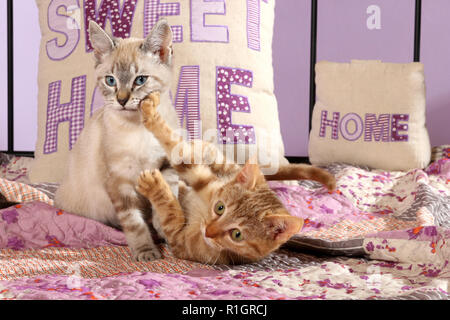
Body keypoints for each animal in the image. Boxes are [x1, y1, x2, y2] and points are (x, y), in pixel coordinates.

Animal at [56, 18, 181, 262]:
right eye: (110, 81)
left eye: (140, 80)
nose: (122, 100)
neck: (139, 127)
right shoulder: (119, 181)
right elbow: (134, 223)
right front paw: (146, 252)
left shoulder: (170, 162)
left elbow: (166, 189)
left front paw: (161, 221)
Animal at [135, 92, 336, 264]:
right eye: (220, 208)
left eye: (237, 235)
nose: (208, 231)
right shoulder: (205, 180)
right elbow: (180, 153)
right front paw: (151, 111)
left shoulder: (179, 240)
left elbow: (170, 210)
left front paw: (153, 185)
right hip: (224, 165)